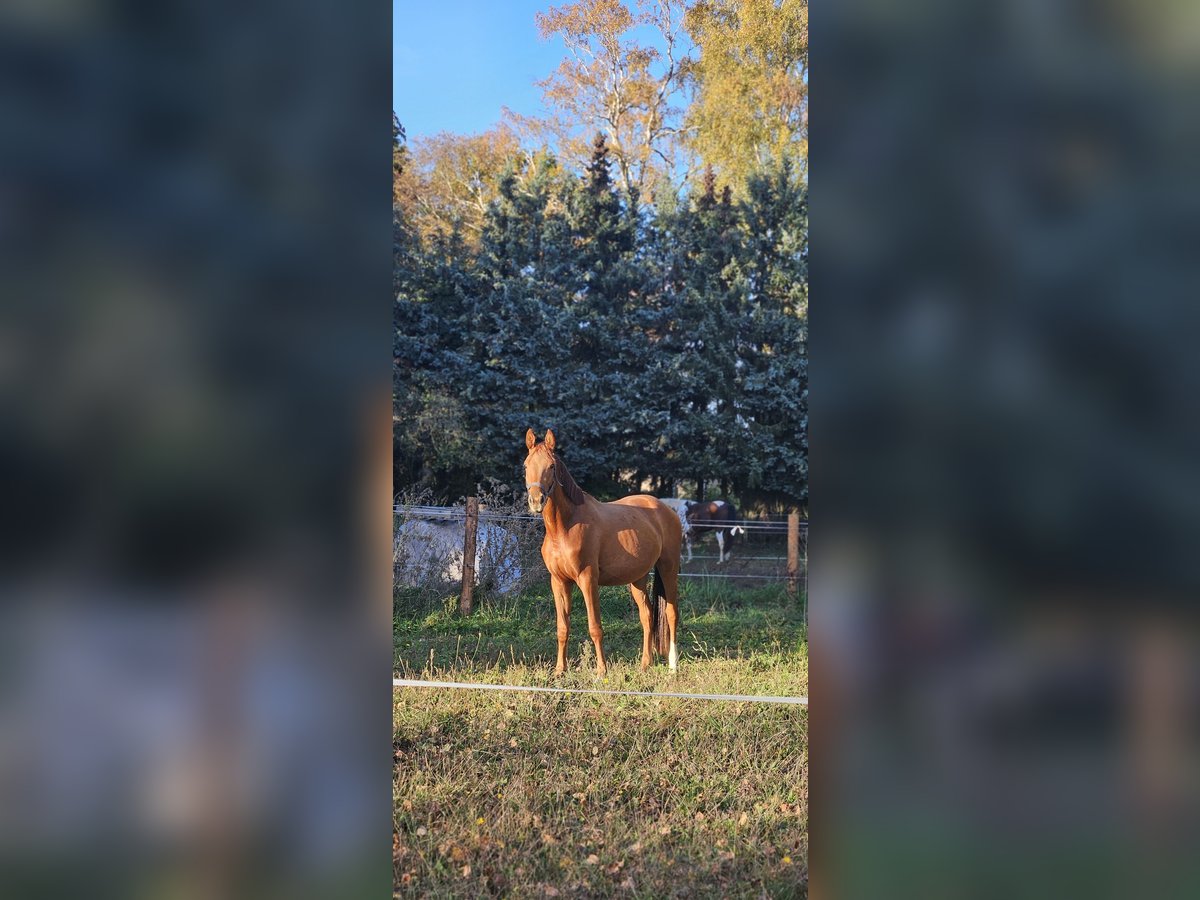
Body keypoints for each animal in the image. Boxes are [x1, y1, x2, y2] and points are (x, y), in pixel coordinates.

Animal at [525, 432, 686, 676]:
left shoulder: (588, 579)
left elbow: (595, 626)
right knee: (647, 615)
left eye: (551, 466)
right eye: (526, 465)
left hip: (669, 568)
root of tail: (667, 510)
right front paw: (560, 670)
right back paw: (645, 663)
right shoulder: (559, 582)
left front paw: (602, 671)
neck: (564, 528)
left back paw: (673, 666)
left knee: (671, 613)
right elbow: (562, 627)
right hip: (637, 578)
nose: (536, 501)